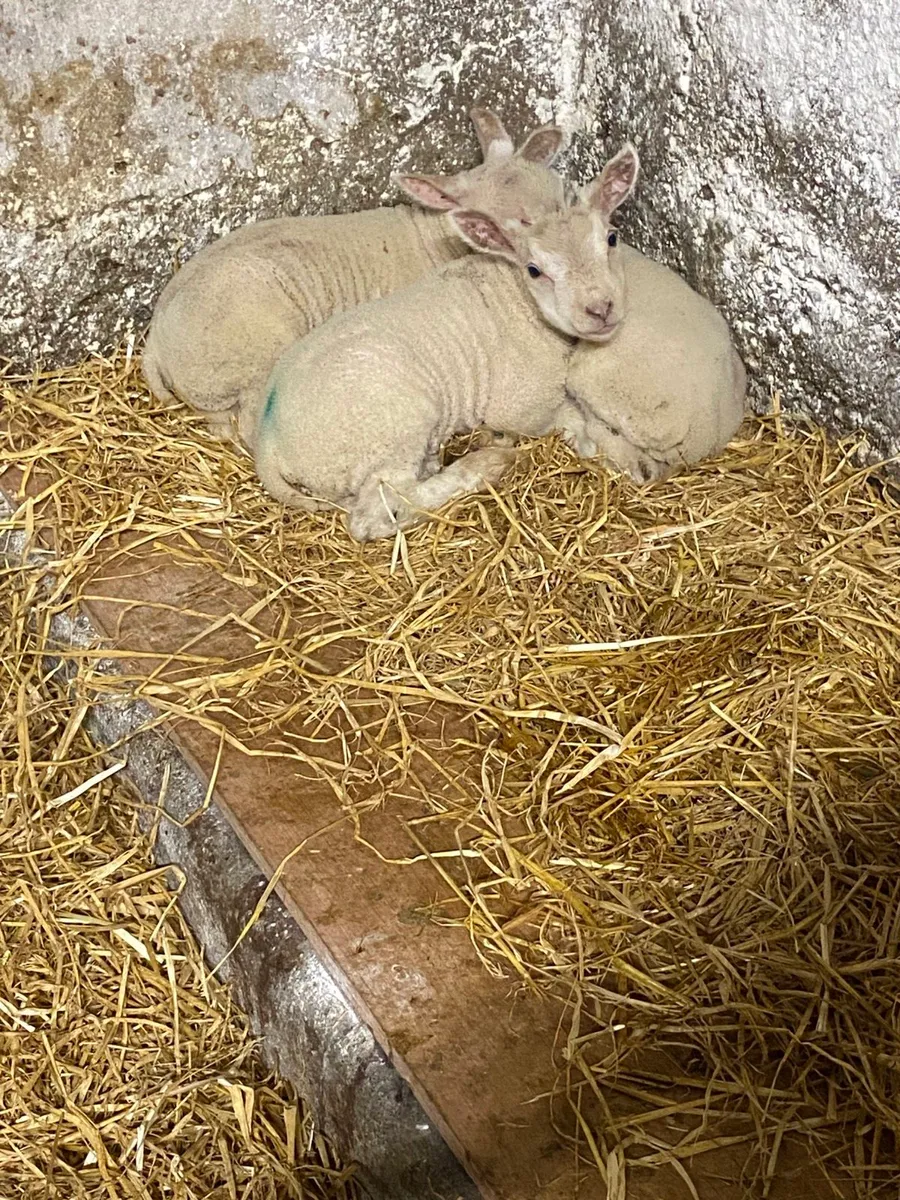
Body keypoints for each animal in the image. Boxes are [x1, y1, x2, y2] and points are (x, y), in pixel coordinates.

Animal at [141, 109, 567, 443]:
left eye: (561, 200)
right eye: (516, 222)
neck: (434, 238)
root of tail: (154, 343)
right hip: (252, 359)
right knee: (245, 426)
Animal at [252, 144, 746, 541]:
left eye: (611, 237)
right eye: (535, 269)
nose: (600, 308)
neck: (517, 299)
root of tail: (269, 444)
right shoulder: (523, 404)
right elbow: (566, 423)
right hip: (391, 428)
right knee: (379, 514)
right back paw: (483, 465)